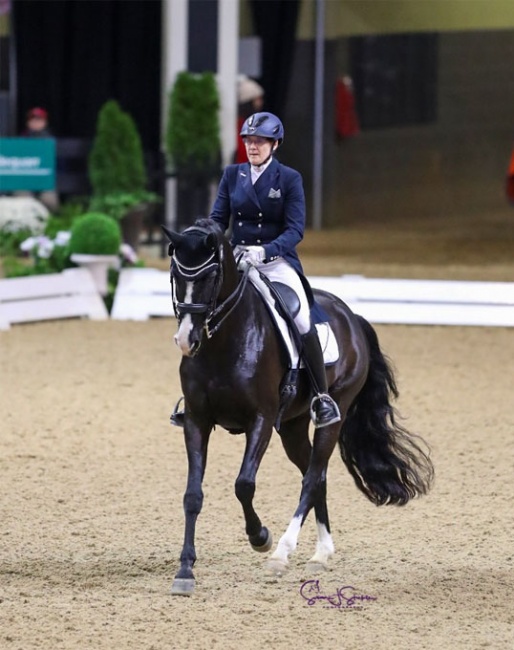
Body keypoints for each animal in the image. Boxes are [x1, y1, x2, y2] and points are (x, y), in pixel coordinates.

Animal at [163, 218, 432, 592]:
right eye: (176, 274)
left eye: (210, 276)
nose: (187, 340)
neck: (226, 341)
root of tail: (351, 315)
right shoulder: (197, 420)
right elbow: (192, 494)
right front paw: (185, 570)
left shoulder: (260, 419)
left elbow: (244, 485)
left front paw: (260, 537)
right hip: (292, 425)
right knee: (314, 474)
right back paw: (321, 553)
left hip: (333, 414)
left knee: (313, 476)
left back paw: (281, 553)